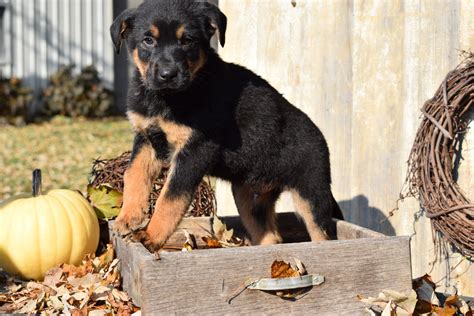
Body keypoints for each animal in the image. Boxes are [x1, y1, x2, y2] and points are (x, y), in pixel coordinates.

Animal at [109, 0, 342, 252]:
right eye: (148, 40)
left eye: (187, 40)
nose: (167, 75)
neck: (168, 98)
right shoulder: (146, 137)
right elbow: (133, 175)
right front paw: (127, 219)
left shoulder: (195, 150)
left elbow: (170, 197)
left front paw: (150, 237)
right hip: (249, 197)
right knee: (271, 236)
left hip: (311, 192)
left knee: (323, 235)